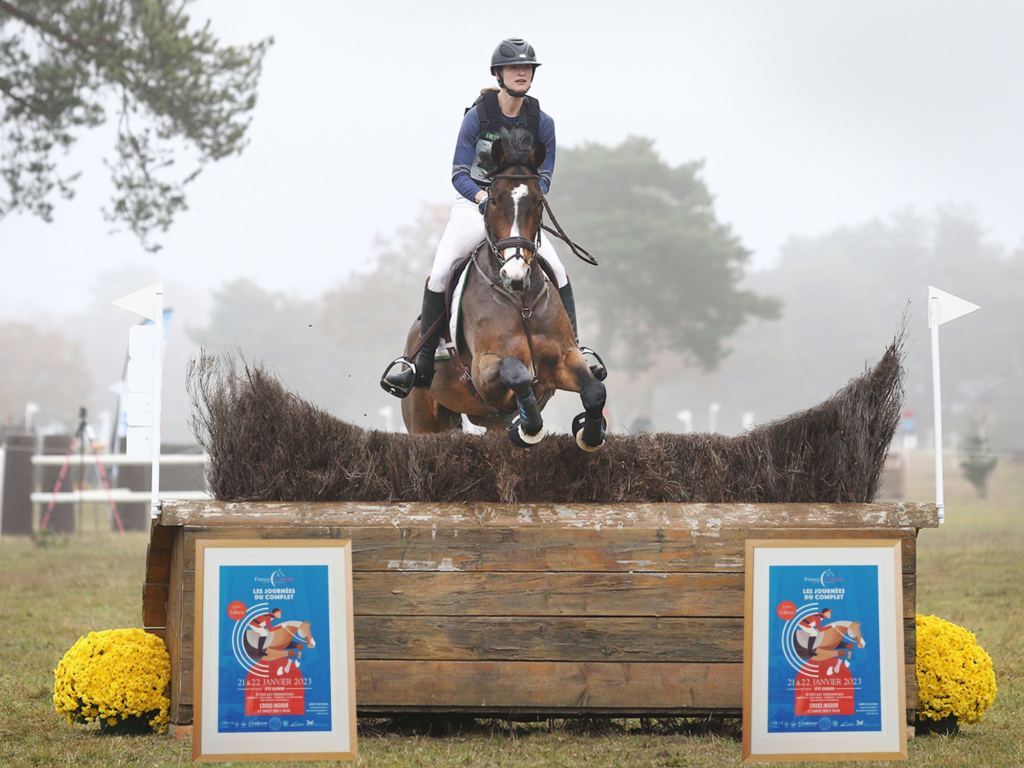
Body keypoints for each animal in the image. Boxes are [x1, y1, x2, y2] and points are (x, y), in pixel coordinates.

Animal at [387, 128, 602, 450]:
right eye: (495, 200)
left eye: (538, 201)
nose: (514, 274)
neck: (520, 300)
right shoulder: (484, 370)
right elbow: (517, 373)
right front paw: (529, 425)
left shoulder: (565, 357)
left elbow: (595, 390)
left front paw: (590, 432)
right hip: (423, 420)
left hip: (486, 422)